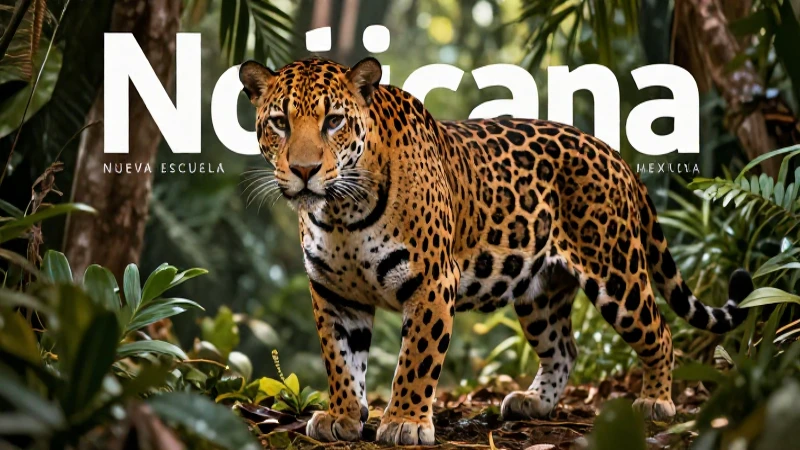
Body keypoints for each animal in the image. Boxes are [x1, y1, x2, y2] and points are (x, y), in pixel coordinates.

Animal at [239, 56, 754, 446]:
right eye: (280, 123)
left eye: (334, 122)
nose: (305, 171)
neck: (342, 211)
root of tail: (612, 152)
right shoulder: (334, 293)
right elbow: (340, 359)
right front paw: (344, 416)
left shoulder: (431, 282)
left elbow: (416, 358)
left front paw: (404, 421)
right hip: (539, 291)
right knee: (564, 347)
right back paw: (534, 402)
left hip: (616, 272)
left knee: (659, 332)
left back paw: (657, 401)